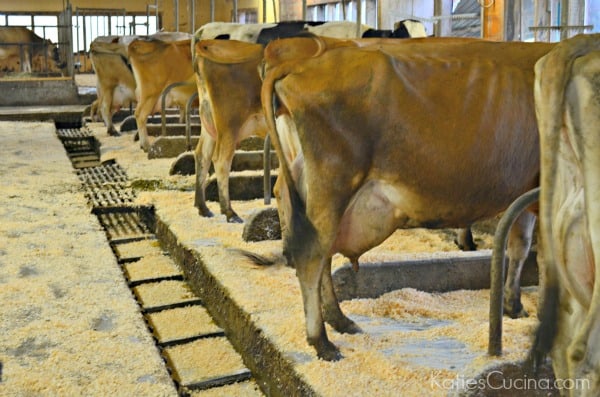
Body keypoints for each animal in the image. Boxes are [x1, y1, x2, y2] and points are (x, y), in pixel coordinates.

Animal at [260, 38, 556, 360]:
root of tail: (308, 56)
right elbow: (547, 261)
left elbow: (519, 249)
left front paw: (514, 306)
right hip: (333, 181)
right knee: (312, 255)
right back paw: (322, 341)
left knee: (312, 239)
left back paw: (339, 319)